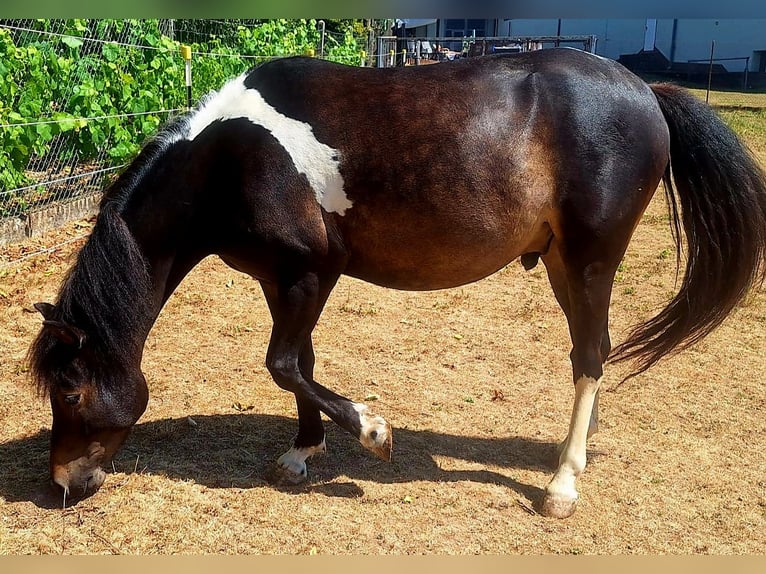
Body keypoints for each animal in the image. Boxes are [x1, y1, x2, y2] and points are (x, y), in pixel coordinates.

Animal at [29, 48, 766, 518]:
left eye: (70, 390)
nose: (63, 484)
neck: (228, 160)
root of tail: (645, 92)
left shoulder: (310, 275)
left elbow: (282, 364)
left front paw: (374, 432)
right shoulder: (281, 280)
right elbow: (301, 365)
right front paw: (302, 454)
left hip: (590, 261)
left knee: (590, 356)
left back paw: (561, 485)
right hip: (560, 261)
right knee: (593, 354)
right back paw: (569, 459)